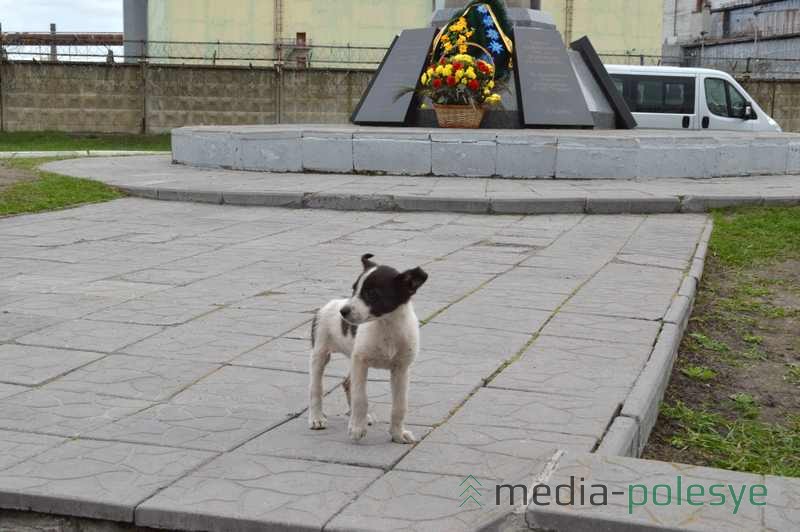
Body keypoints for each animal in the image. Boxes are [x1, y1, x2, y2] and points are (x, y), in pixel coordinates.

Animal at [308, 251, 428, 442]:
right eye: (354, 289)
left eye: (371, 293)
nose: (343, 312)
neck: (386, 326)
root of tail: (331, 303)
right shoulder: (360, 362)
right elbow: (360, 398)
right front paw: (357, 428)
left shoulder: (401, 368)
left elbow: (400, 405)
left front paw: (397, 434)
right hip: (320, 353)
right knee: (316, 388)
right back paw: (317, 418)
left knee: (347, 383)